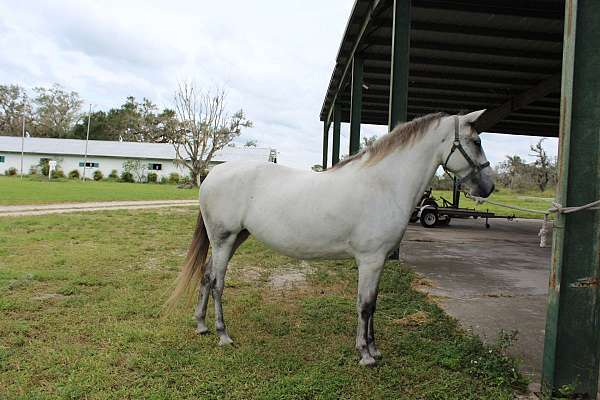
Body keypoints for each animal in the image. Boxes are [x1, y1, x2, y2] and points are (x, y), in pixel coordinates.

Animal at [168, 109, 492, 366]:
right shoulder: (370, 260)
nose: (488, 187)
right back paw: (223, 334)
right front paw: (365, 355)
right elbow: (365, 305)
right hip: (224, 240)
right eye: (476, 142)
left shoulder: (378, 262)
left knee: (206, 275)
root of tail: (213, 174)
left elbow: (373, 304)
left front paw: (374, 349)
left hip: (234, 239)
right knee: (217, 283)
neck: (383, 184)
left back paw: (201, 325)